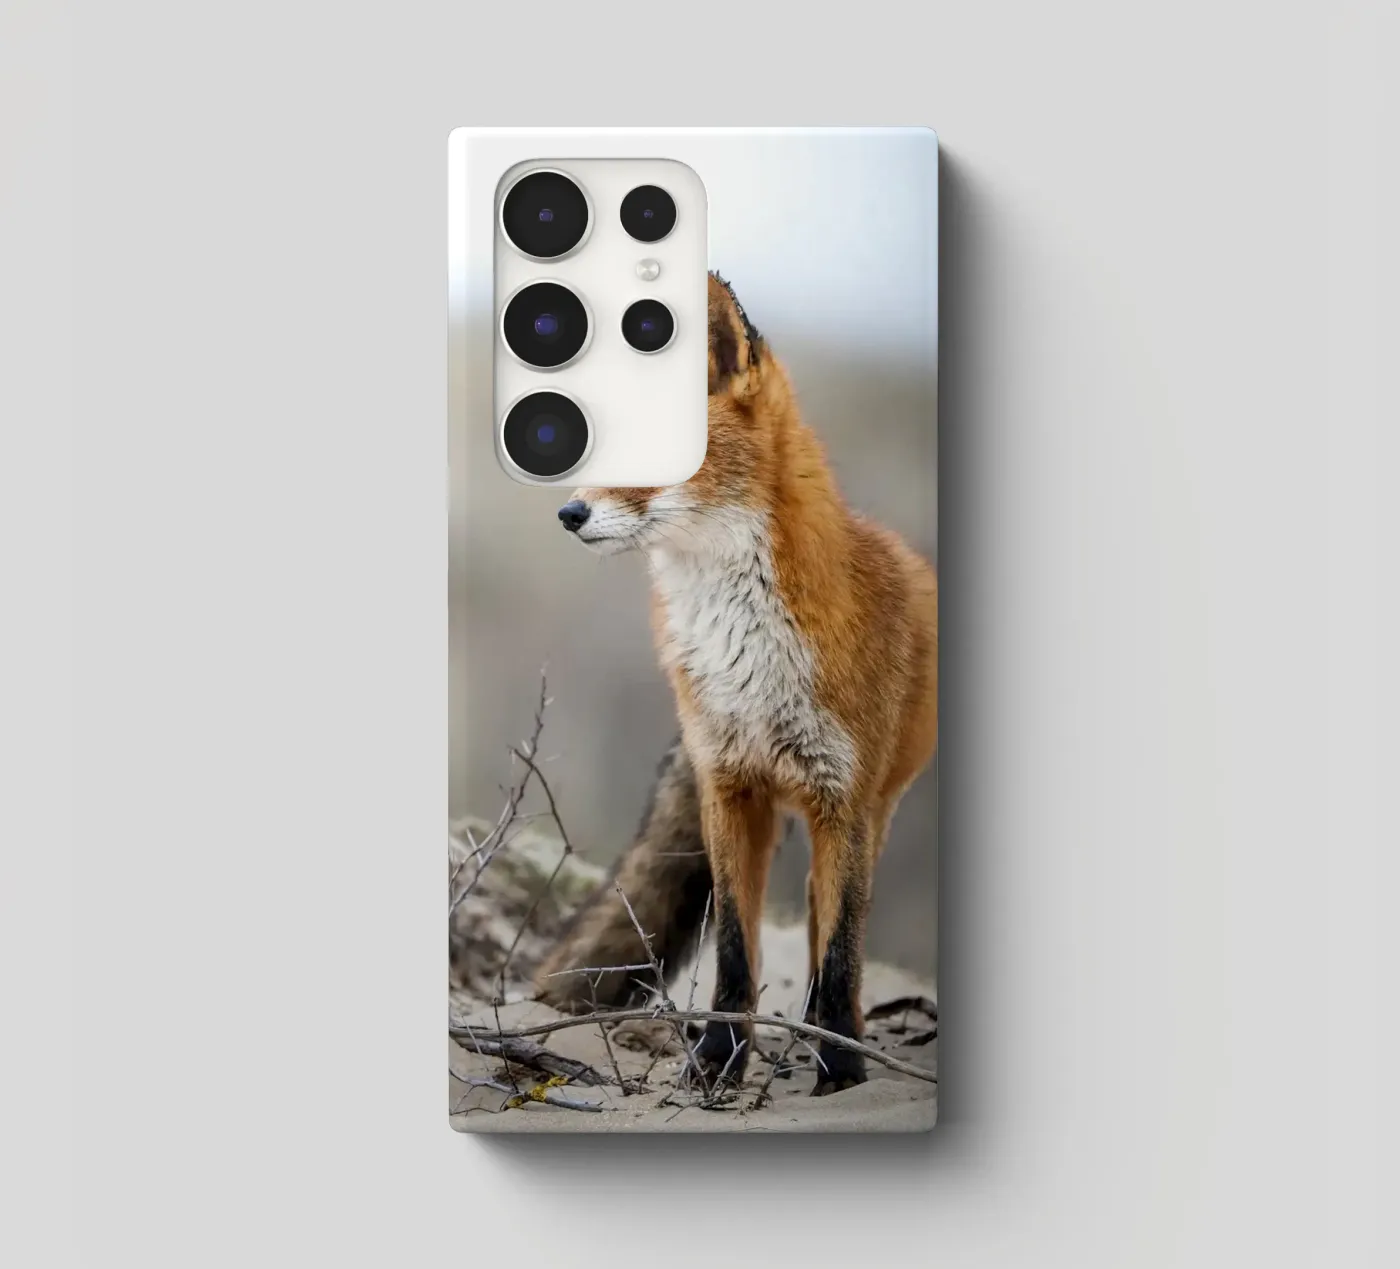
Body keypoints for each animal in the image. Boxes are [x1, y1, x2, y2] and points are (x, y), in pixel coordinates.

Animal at [545, 273, 938, 1095]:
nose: (566, 510)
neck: (747, 660)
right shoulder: (727, 785)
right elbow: (732, 950)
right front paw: (718, 1061)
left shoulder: (844, 797)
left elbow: (842, 954)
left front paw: (842, 1072)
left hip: (870, 815)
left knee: (829, 929)